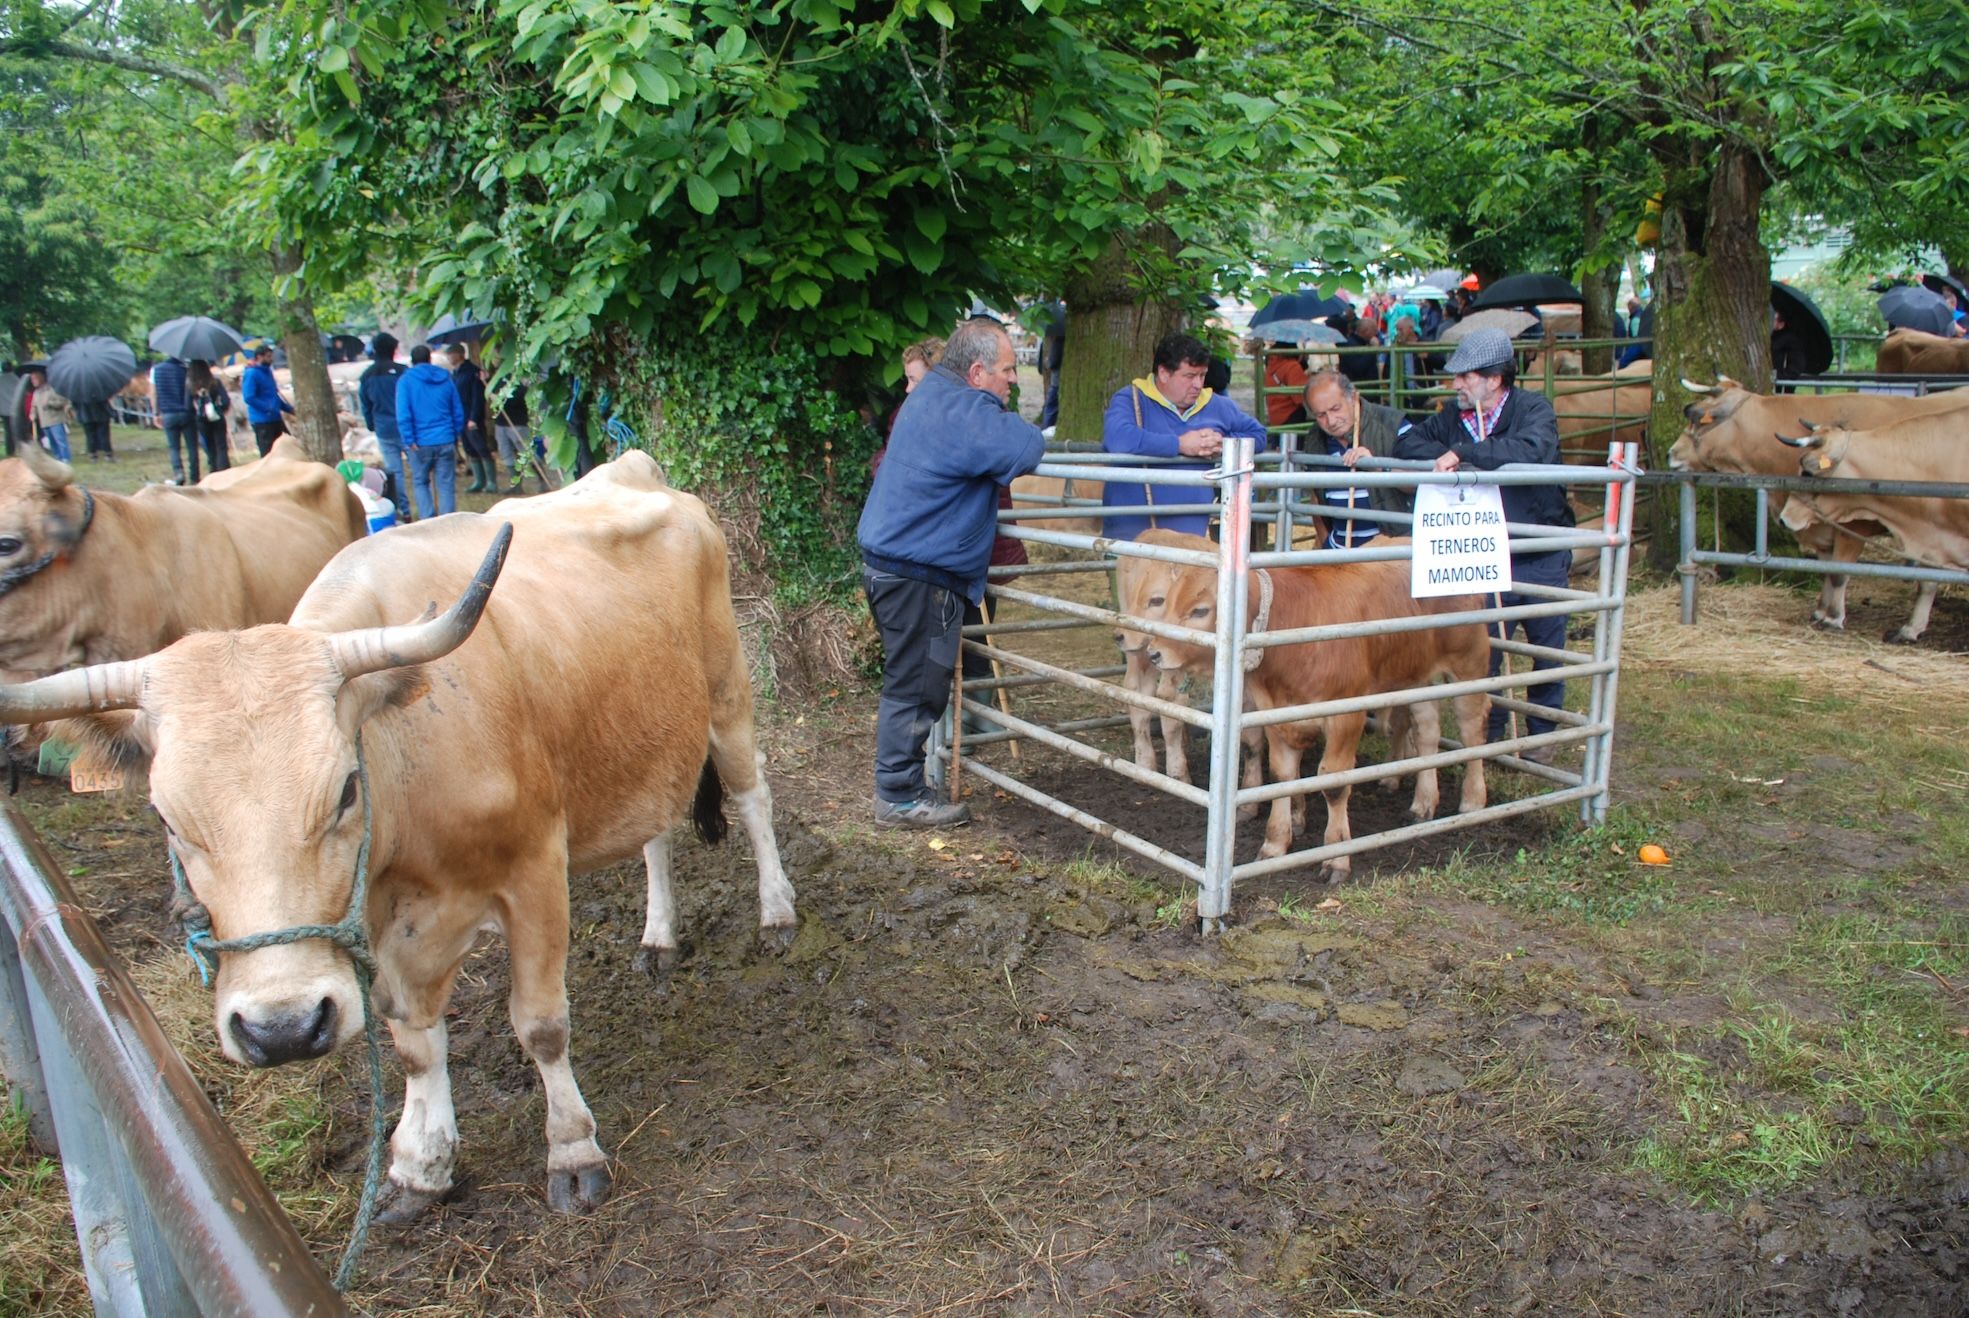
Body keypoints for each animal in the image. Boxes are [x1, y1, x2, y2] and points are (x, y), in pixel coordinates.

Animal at [1, 455, 799, 1221]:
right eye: (167, 818)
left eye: (346, 789)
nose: (283, 1028)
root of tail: (640, 470)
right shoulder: (383, 922)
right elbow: (413, 1044)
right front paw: (420, 1164)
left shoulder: (535, 871)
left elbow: (541, 1025)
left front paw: (573, 1152)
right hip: (640, 736)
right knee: (654, 832)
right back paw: (659, 935)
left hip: (726, 695)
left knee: (754, 794)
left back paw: (777, 914)